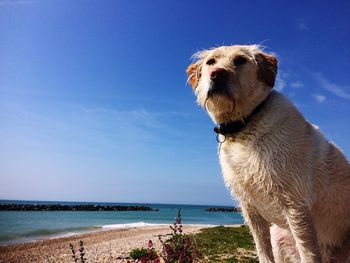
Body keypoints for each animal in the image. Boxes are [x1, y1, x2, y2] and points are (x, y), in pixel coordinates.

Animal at [186, 44, 350, 262]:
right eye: (211, 62)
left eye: (240, 60)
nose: (217, 74)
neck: (246, 125)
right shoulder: (251, 209)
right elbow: (262, 249)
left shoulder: (296, 206)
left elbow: (308, 251)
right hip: (278, 236)